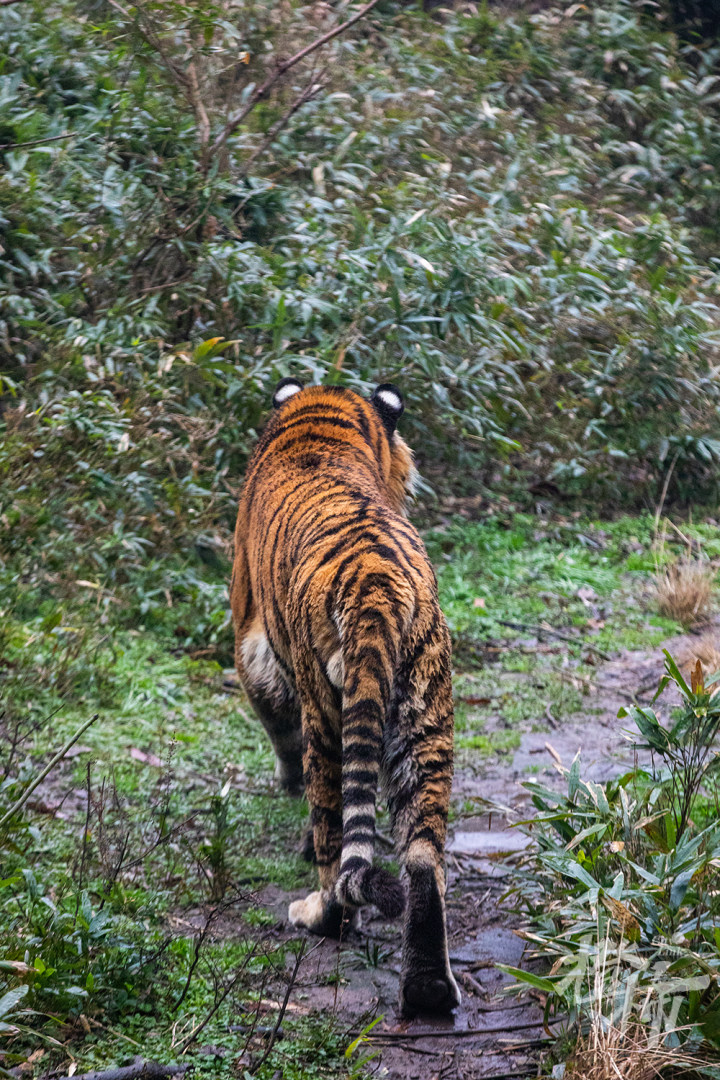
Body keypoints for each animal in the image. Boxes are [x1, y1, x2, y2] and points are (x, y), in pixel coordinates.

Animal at [231, 378, 459, 1010]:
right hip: (427, 716)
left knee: (336, 842)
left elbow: (274, 725)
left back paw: (318, 913)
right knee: (422, 859)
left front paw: (286, 788)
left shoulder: (249, 638)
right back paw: (428, 989)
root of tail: (374, 587)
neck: (320, 421)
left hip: (326, 713)